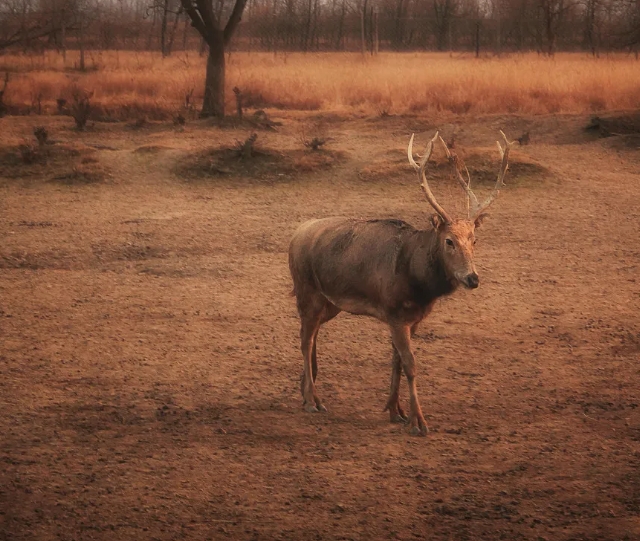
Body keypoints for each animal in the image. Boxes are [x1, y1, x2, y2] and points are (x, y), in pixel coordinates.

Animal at [290, 131, 516, 434]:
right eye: (449, 241)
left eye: (475, 240)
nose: (472, 278)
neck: (418, 283)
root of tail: (295, 236)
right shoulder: (395, 313)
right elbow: (410, 363)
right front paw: (418, 420)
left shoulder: (412, 318)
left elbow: (396, 359)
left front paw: (394, 409)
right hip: (307, 290)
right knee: (304, 338)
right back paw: (313, 400)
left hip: (330, 303)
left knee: (312, 334)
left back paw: (305, 391)